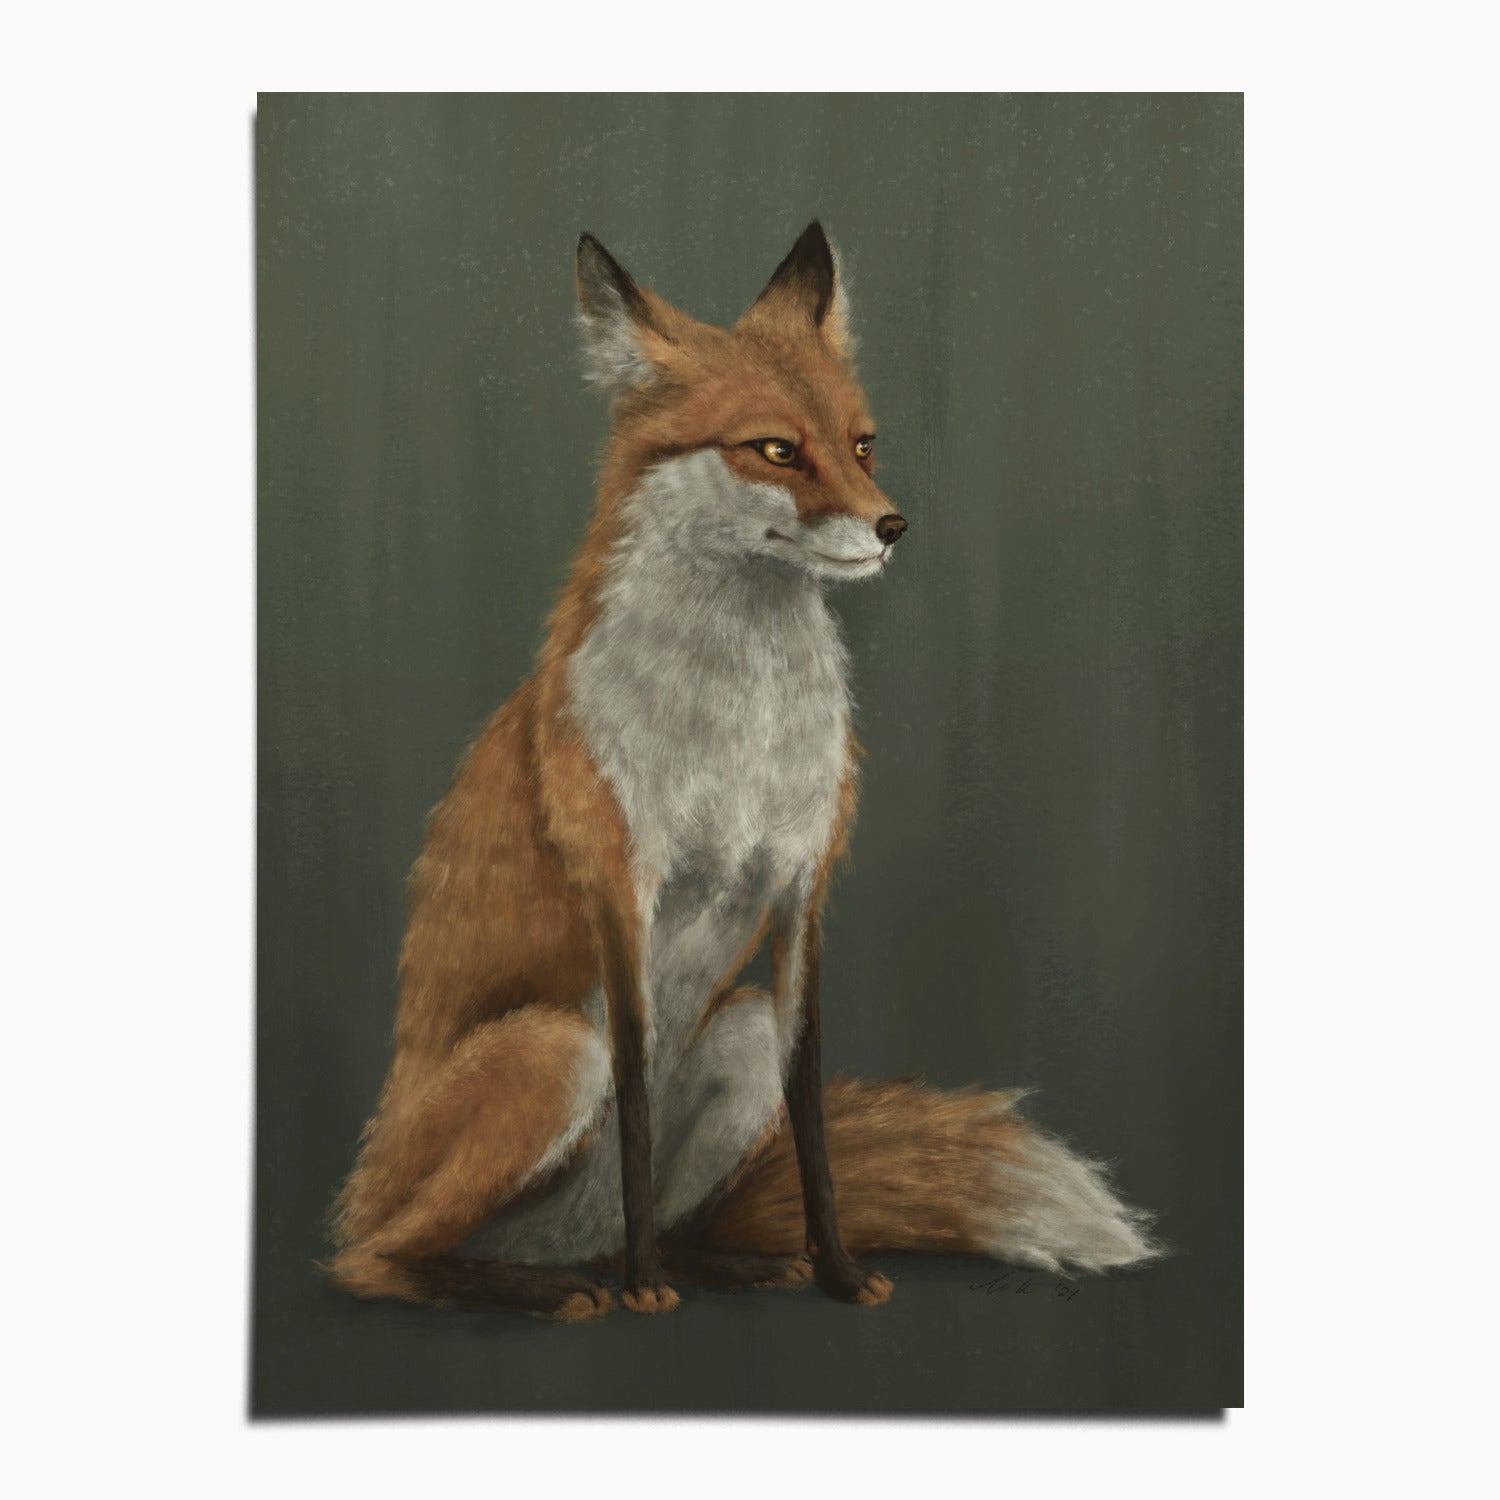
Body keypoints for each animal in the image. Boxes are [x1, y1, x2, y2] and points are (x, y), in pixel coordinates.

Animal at [326, 222, 1158, 1321]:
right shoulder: (622, 891)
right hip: (551, 1051)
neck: (740, 731)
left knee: (663, 1216)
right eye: (775, 449)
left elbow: (810, 1115)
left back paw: (720, 1263)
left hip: (738, 1033)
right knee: (378, 1260)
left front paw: (837, 1271)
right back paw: (556, 1286)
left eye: (862, 443)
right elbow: (636, 1099)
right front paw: (645, 1292)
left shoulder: (803, 889)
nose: (893, 526)